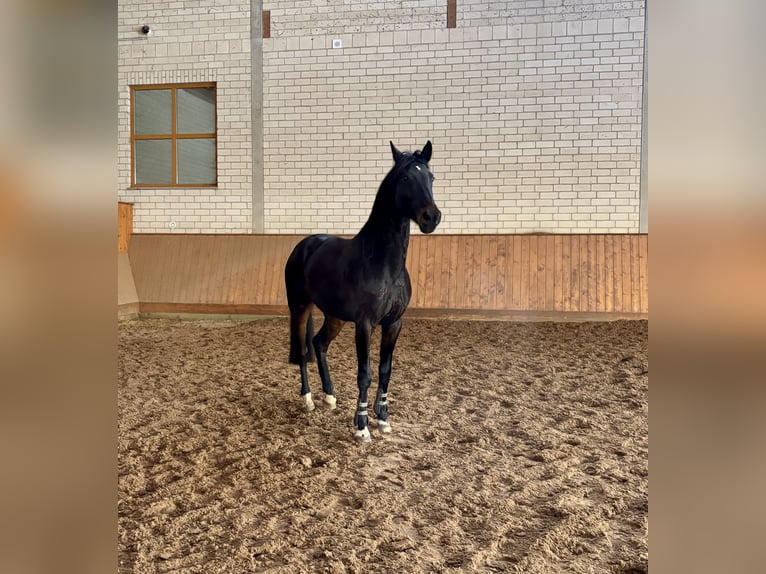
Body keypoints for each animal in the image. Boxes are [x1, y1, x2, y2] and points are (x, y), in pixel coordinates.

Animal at [284, 140, 441, 442]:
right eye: (405, 178)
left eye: (431, 177)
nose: (432, 217)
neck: (382, 262)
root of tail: (304, 245)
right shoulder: (365, 324)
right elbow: (365, 373)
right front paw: (361, 426)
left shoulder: (394, 323)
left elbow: (385, 371)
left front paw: (383, 420)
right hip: (300, 308)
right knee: (303, 348)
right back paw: (308, 399)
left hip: (335, 316)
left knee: (319, 344)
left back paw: (330, 396)